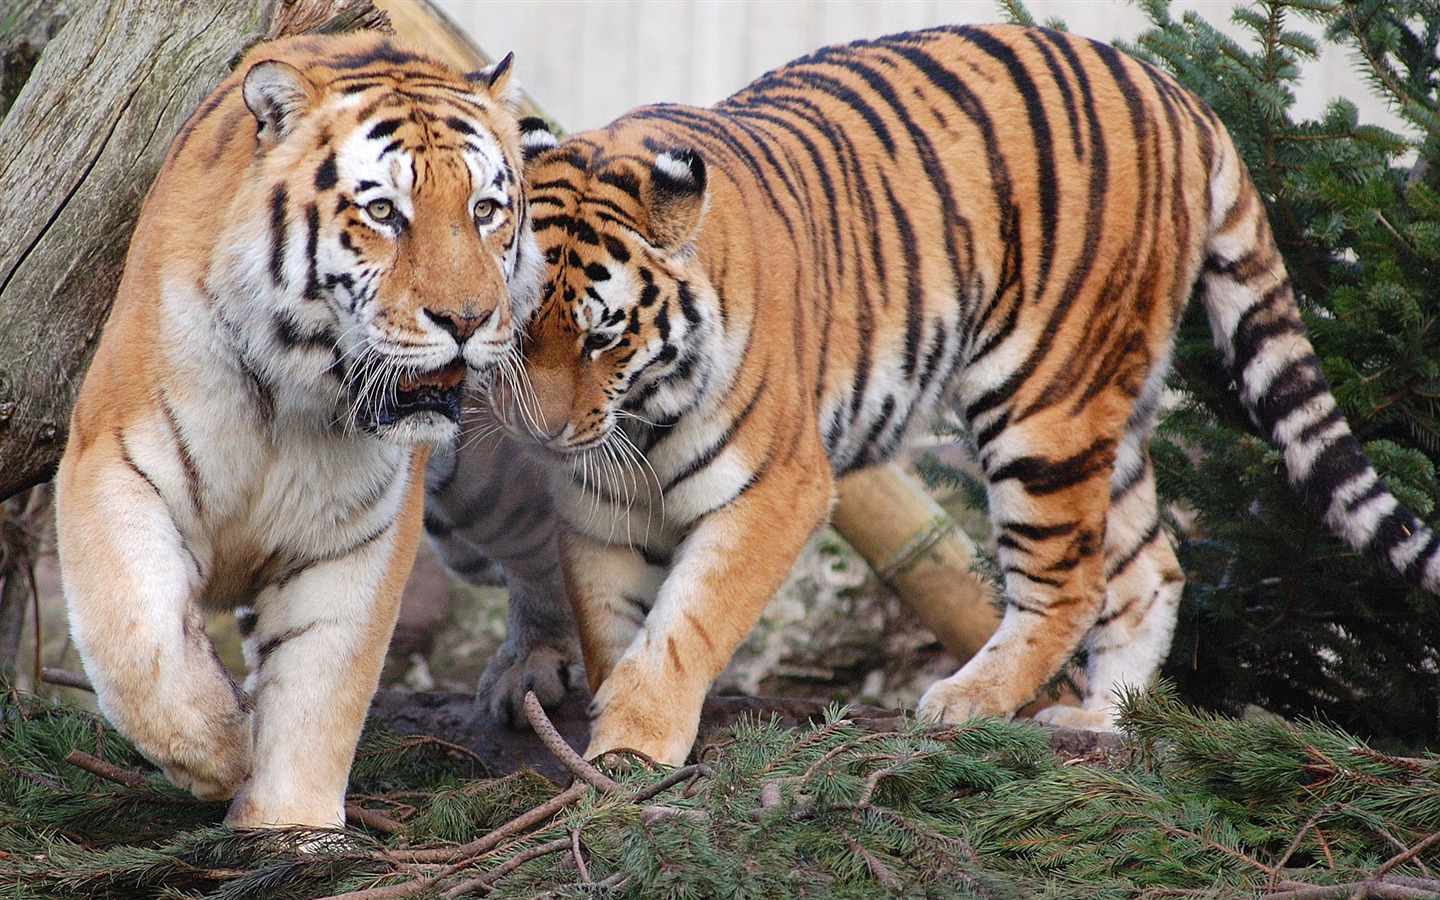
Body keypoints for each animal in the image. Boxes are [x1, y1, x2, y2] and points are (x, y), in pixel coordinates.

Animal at [53, 31, 541, 823]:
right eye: (385, 212)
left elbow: (322, 687)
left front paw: (289, 828)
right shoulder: (114, 460)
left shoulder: (358, 534)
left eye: (486, 209)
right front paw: (218, 750)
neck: (296, 396)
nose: (467, 320)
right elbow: (138, 635)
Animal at [498, 22, 1440, 766]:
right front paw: (605, 726)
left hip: (1042, 402)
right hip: (1112, 408)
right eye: (515, 330)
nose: (540, 435)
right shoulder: (596, 504)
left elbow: (684, 624)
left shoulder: (775, 488)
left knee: (1072, 583)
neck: (638, 416)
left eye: (602, 335)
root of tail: (1179, 93)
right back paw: (1101, 722)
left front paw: (634, 742)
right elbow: (611, 622)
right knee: (1150, 568)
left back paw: (967, 701)